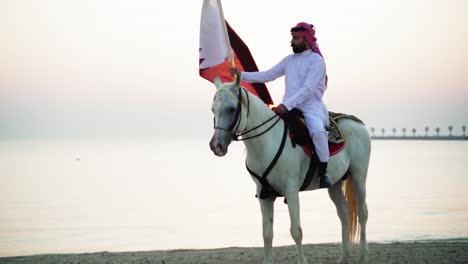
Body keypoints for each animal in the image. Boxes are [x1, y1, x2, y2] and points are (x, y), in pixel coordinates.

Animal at [210, 77, 372, 264]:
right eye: (213, 109)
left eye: (231, 109)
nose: (216, 146)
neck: (267, 141)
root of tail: (359, 124)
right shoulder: (264, 194)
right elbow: (267, 233)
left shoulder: (291, 191)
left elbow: (296, 231)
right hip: (335, 184)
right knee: (344, 214)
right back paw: (344, 257)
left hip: (359, 176)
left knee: (363, 213)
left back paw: (364, 256)